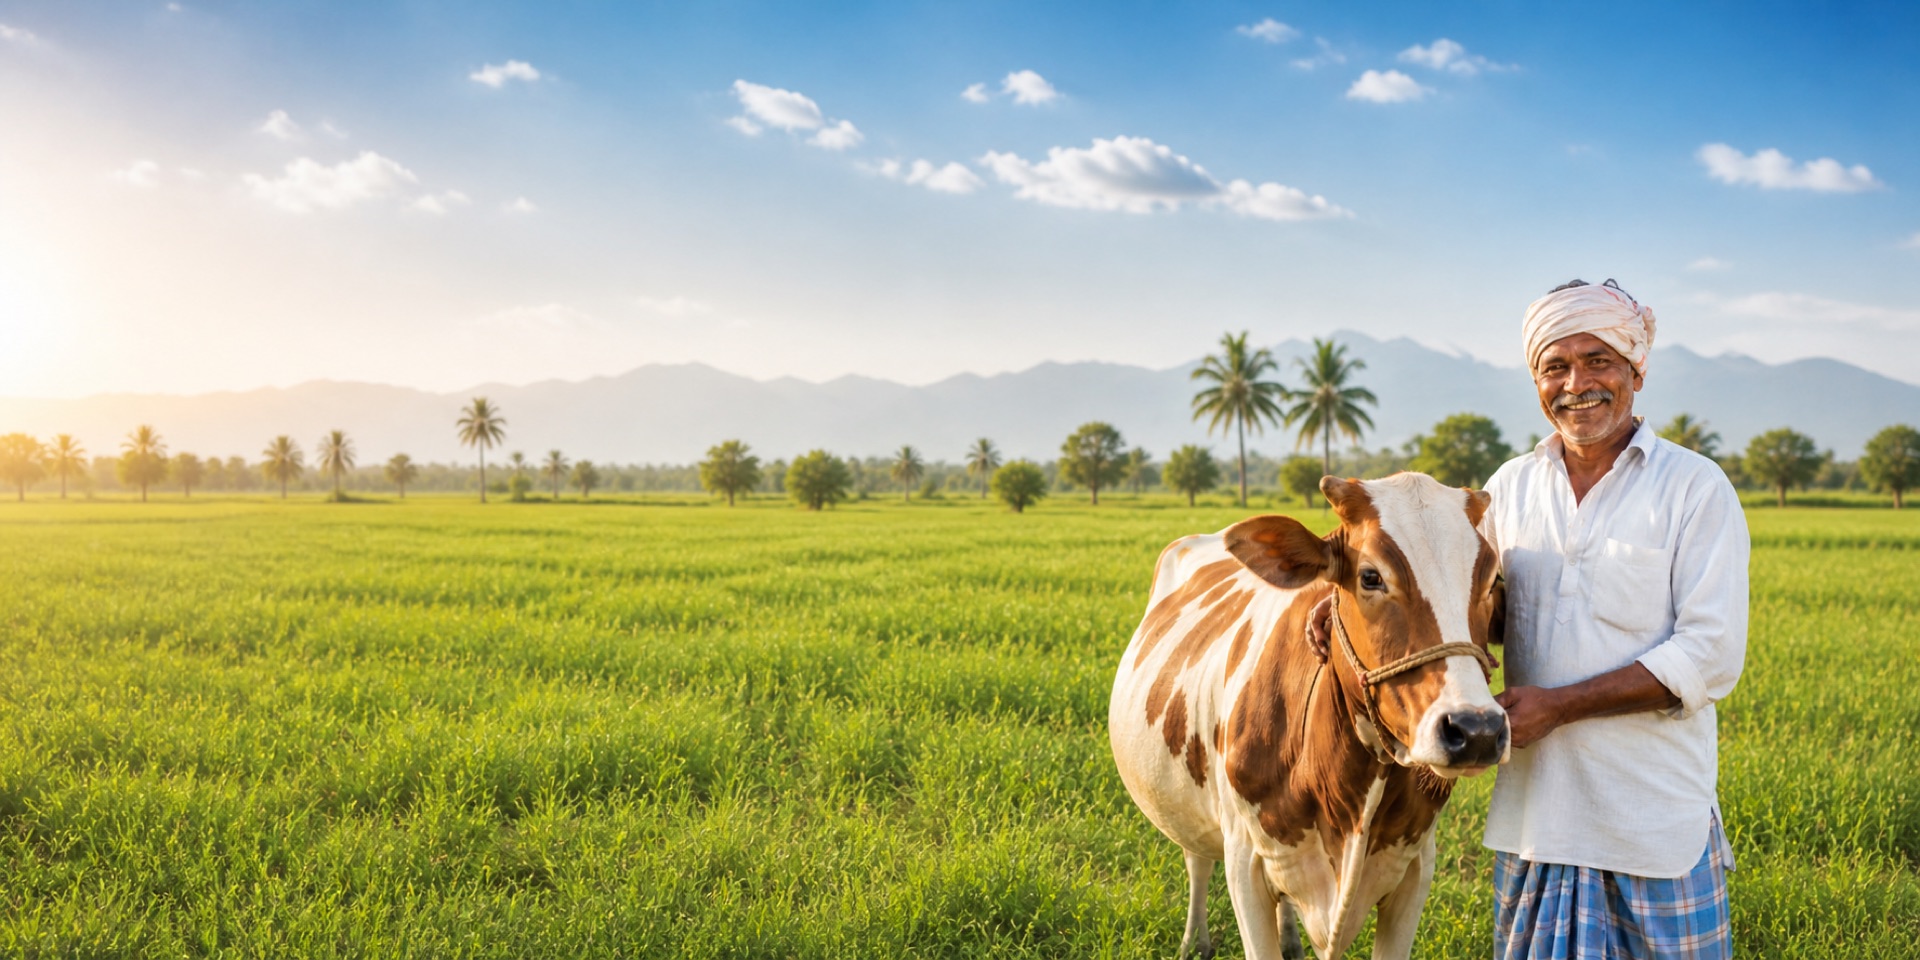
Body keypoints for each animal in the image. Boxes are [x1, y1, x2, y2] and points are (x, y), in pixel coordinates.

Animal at [1109, 473, 1508, 959]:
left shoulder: (1415, 868)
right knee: (1196, 860)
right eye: (1371, 577)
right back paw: (1194, 942)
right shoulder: (1244, 863)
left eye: (1491, 580)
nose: (1477, 729)